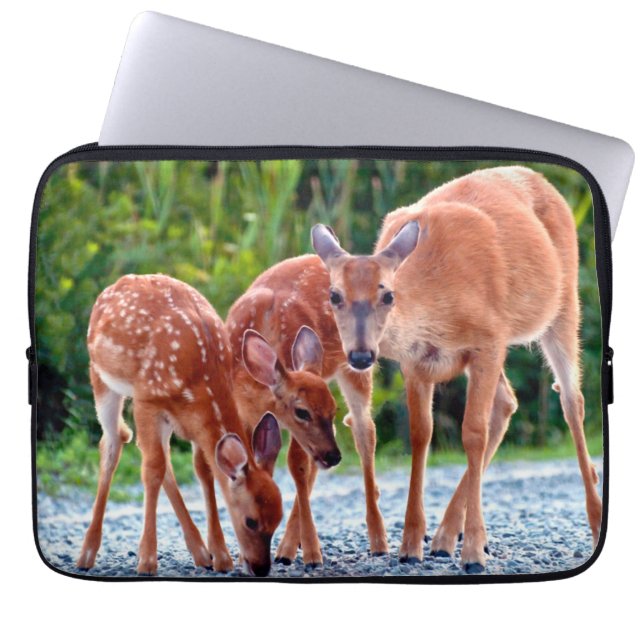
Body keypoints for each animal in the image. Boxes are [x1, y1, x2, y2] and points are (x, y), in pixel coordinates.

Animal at [76, 274, 283, 577]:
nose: (260, 568)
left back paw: (200, 552)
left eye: (279, 518)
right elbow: (152, 471)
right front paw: (147, 560)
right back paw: (87, 553)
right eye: (251, 521)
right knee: (114, 443)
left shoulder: (193, 420)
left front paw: (221, 556)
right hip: (100, 377)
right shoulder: (147, 399)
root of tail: (115, 285)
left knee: (162, 458)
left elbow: (204, 471)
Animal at [225, 257, 389, 567]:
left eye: (333, 409)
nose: (334, 457)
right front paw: (243, 554)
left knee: (365, 430)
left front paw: (313, 553)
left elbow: (297, 467)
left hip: (357, 364)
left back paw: (378, 541)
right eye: (302, 412)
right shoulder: (244, 411)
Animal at [312, 166, 602, 573]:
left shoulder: (488, 341)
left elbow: (473, 434)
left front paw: (475, 552)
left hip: (564, 305)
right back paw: (444, 538)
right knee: (507, 402)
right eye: (334, 295)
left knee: (571, 400)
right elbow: (421, 434)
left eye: (387, 294)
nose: (361, 355)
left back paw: (594, 519)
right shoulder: (416, 362)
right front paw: (410, 545)